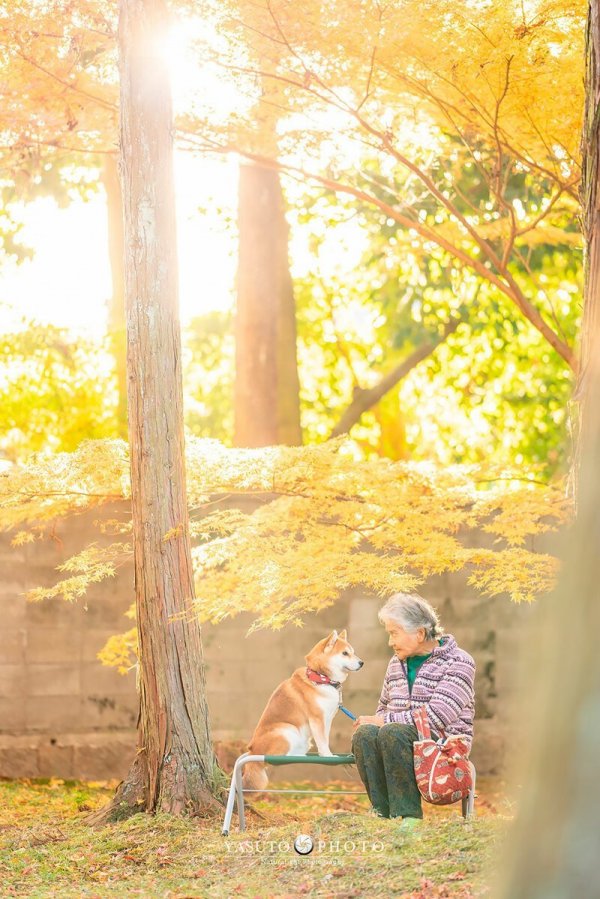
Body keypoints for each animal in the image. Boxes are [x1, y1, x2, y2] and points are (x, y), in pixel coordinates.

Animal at [243, 628, 364, 792]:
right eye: (345, 653)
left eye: (353, 652)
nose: (361, 662)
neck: (320, 678)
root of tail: (252, 752)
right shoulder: (317, 718)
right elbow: (323, 740)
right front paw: (328, 755)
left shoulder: (327, 719)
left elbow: (324, 739)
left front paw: (325, 753)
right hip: (286, 730)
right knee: (278, 757)